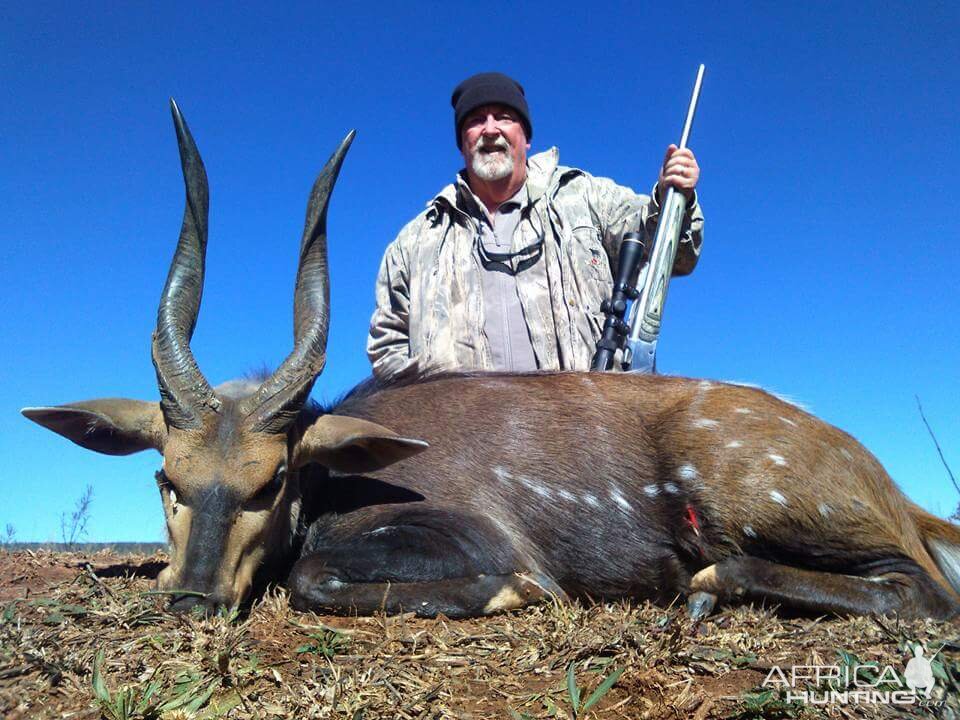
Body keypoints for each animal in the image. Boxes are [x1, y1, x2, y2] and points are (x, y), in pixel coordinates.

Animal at [20, 101, 960, 620]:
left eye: (272, 481)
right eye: (165, 479)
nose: (193, 601)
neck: (341, 473)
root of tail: (886, 484)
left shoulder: (468, 534)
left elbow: (315, 576)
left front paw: (519, 593)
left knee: (921, 591)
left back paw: (704, 587)